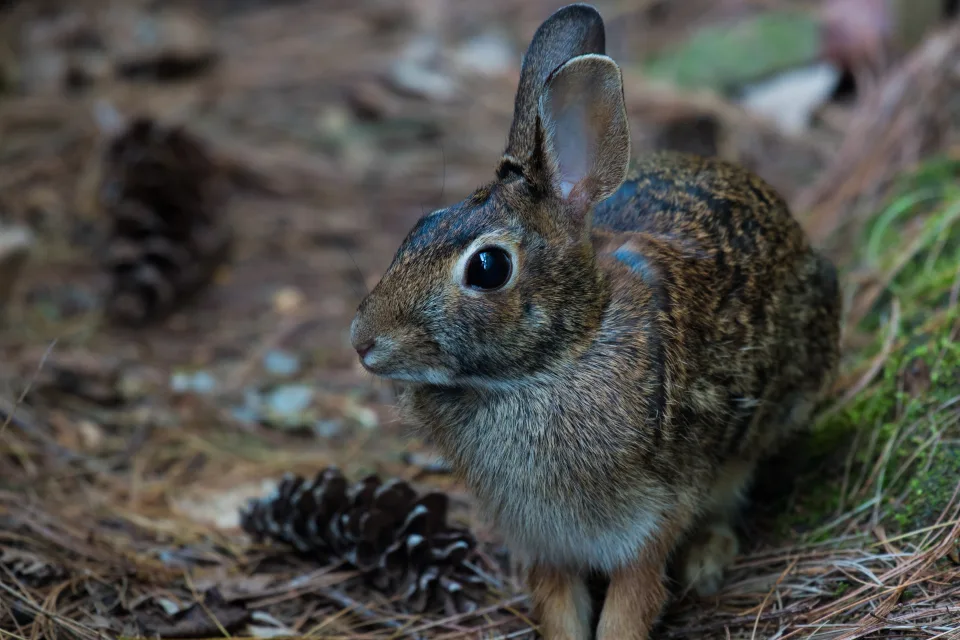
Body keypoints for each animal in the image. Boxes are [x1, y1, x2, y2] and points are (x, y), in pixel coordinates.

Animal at [349, 3, 842, 639]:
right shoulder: (544, 541)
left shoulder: (651, 519)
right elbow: (559, 607)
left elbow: (629, 606)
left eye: (488, 267)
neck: (557, 358)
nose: (363, 342)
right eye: (421, 224)